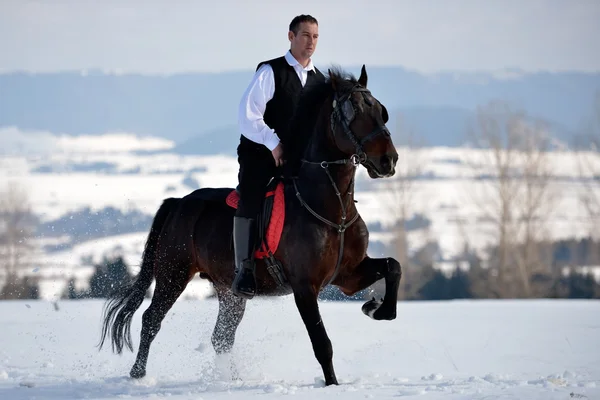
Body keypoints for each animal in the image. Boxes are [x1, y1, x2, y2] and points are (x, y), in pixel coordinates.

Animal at [99, 65, 404, 384]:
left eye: (380, 110)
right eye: (352, 111)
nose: (388, 160)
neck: (334, 213)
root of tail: (178, 202)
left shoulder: (348, 275)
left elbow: (393, 267)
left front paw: (374, 308)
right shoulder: (304, 287)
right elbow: (322, 343)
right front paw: (332, 384)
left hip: (227, 291)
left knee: (221, 337)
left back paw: (229, 379)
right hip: (174, 273)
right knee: (151, 319)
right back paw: (138, 374)